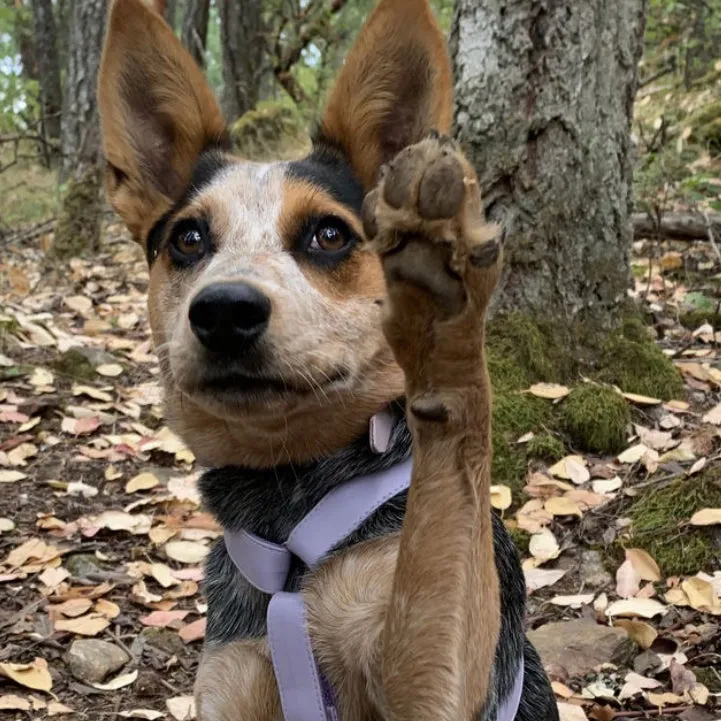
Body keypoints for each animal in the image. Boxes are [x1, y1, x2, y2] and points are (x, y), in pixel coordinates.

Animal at [95, 0, 556, 716]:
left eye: (330, 234)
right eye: (188, 239)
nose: (223, 310)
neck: (290, 534)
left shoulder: (439, 689)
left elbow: (445, 495)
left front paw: (435, 288)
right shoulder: (235, 677)